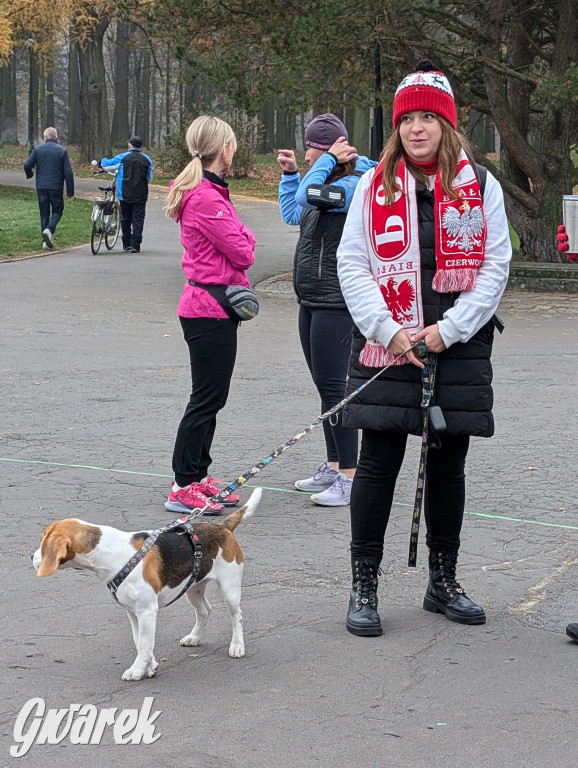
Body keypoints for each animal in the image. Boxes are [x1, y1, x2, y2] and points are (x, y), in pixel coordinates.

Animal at [32, 488, 262, 680]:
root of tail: (223, 528)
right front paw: (149, 666)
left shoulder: (147, 611)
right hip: (193, 587)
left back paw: (237, 646)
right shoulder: (133, 612)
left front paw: (137, 670)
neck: (113, 554)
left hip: (229, 589)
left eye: (43, 543)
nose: (31, 557)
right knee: (205, 610)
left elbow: (143, 644)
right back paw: (194, 637)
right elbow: (140, 641)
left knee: (237, 616)